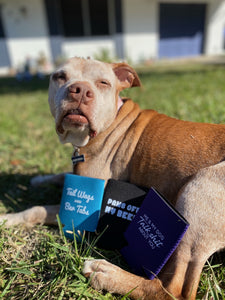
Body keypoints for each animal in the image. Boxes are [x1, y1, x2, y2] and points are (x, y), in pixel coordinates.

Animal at [0, 56, 224, 300]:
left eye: (103, 83)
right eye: (60, 76)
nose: (80, 90)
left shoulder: (87, 210)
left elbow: (37, 210)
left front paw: (7, 218)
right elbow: (61, 175)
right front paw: (39, 179)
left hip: (199, 190)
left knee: (173, 290)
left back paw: (107, 273)